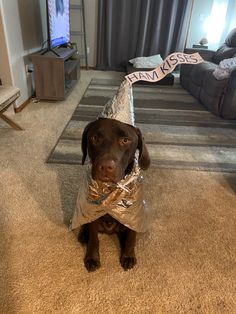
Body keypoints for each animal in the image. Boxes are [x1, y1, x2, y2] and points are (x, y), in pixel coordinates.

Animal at [79, 116, 149, 272]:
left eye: (125, 140)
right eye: (94, 138)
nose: (106, 167)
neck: (110, 189)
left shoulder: (133, 214)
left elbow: (131, 236)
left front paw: (128, 255)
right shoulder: (92, 212)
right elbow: (94, 239)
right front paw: (92, 258)